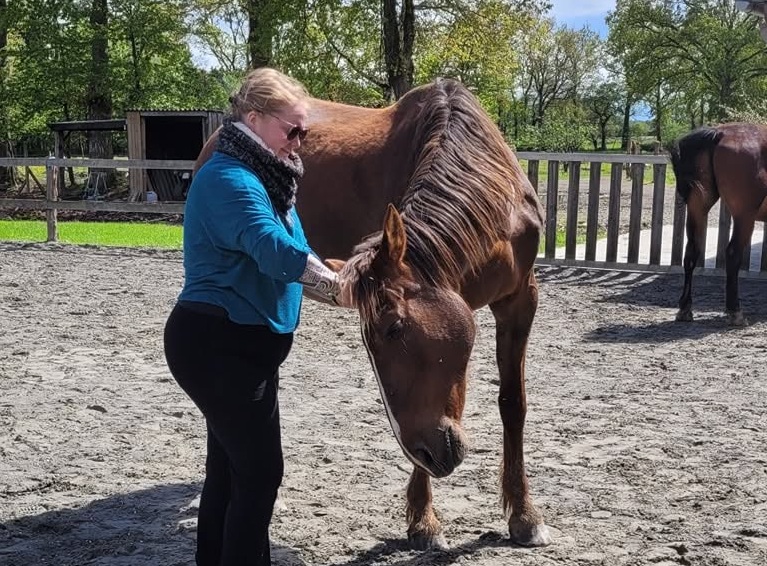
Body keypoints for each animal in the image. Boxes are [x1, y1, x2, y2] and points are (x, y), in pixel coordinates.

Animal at [194, 78, 551, 549]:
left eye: (395, 328)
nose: (433, 451)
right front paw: (423, 520)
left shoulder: (520, 301)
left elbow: (513, 403)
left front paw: (524, 515)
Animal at [670, 122, 767, 326]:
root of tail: (719, 133)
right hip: (744, 216)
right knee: (732, 253)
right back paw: (735, 312)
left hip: (698, 206)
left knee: (691, 252)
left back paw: (685, 309)